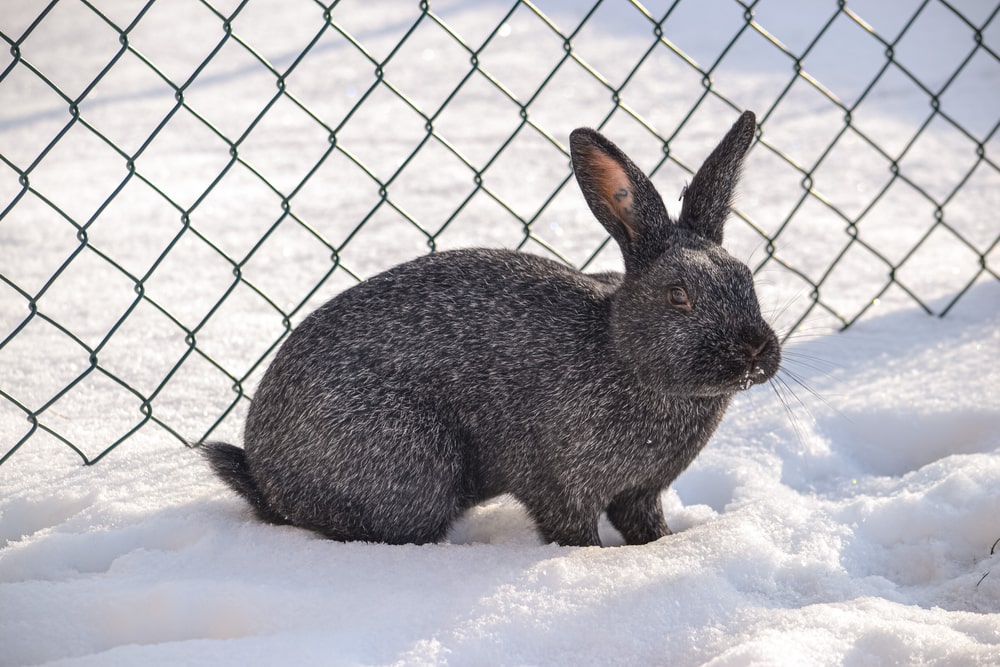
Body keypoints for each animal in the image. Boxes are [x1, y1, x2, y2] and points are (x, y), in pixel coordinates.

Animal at [203, 110, 781, 547]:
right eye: (678, 296)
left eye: (747, 279)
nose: (755, 349)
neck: (621, 352)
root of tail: (264, 477)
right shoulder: (560, 484)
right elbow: (572, 531)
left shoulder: (640, 494)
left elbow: (644, 526)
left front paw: (662, 548)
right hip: (413, 459)